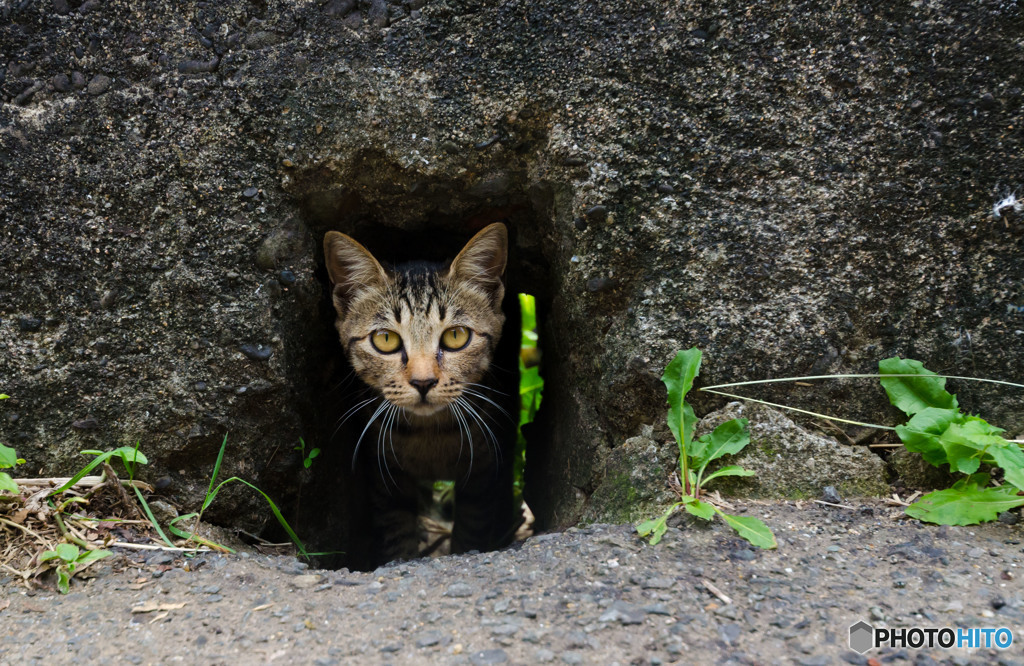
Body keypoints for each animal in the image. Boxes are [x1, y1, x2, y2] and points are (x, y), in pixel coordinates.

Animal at [325, 223, 524, 561]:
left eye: (456, 336)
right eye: (386, 339)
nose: (423, 382)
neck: (429, 433)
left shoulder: (483, 472)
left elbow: (473, 524)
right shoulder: (385, 475)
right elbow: (396, 528)